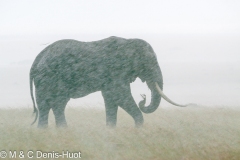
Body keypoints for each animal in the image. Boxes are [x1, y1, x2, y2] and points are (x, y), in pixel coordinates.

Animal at [29, 35, 185, 128]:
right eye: (149, 62)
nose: (143, 98)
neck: (128, 41)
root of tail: (37, 58)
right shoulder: (115, 70)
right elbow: (120, 96)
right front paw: (138, 129)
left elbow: (111, 99)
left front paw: (111, 130)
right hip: (48, 78)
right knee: (47, 105)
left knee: (57, 105)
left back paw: (62, 131)